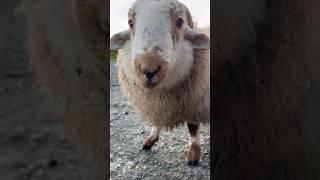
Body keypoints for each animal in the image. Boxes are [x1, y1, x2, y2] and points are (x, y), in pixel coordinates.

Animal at [110, 0, 210, 165]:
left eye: (180, 22)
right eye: (130, 23)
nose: (149, 69)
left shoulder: (194, 100)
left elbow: (192, 128)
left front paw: (194, 154)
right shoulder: (160, 103)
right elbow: (157, 120)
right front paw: (150, 139)